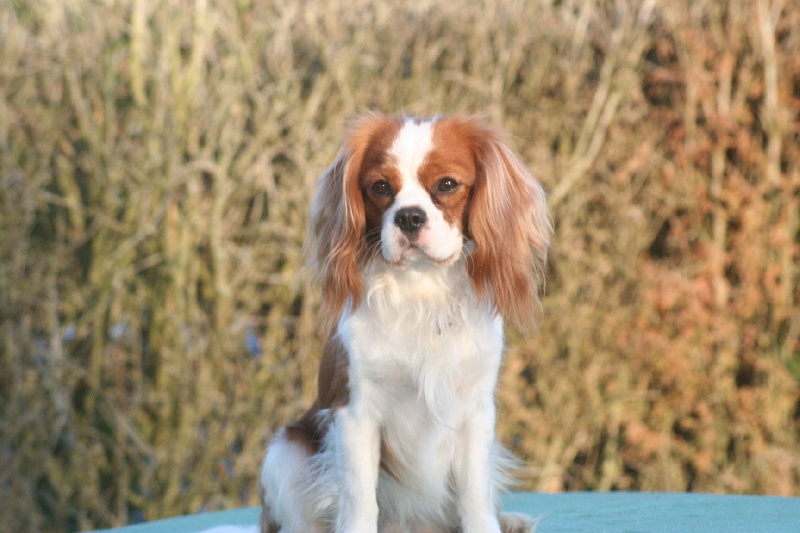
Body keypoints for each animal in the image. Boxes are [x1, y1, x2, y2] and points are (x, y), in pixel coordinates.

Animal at [260, 113, 552, 532]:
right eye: (381, 188)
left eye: (447, 184)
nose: (409, 216)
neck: (422, 290)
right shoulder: (355, 414)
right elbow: (359, 500)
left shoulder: (475, 412)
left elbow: (475, 495)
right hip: (286, 452)